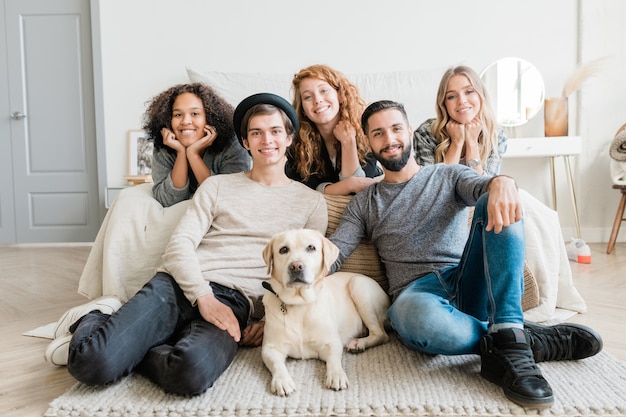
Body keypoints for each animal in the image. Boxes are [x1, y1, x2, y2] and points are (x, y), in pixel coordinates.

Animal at [260, 226, 388, 394]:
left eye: (311, 248)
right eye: (283, 249)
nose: (296, 266)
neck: (299, 303)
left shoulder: (331, 342)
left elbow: (334, 360)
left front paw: (337, 375)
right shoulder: (270, 348)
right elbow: (277, 364)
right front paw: (282, 380)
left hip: (358, 285)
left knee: (381, 334)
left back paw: (359, 343)